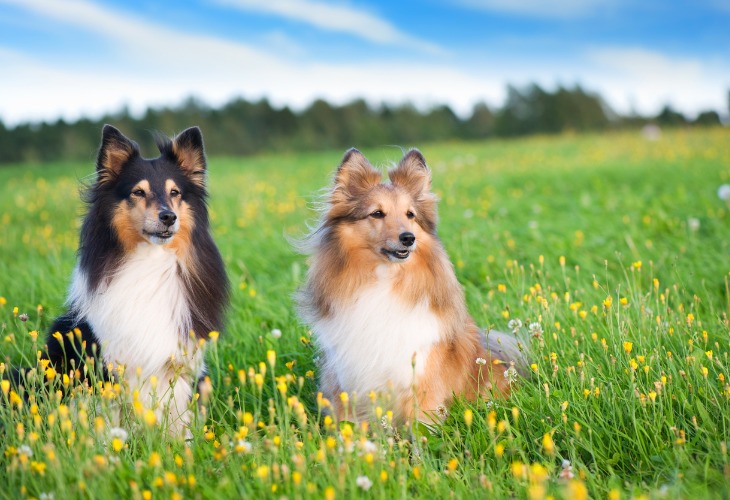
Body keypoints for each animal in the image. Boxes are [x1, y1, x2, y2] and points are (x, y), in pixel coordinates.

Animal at [9, 126, 228, 438]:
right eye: (138, 192)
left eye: (175, 192)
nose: (169, 217)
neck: (150, 262)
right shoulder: (107, 362)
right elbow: (107, 414)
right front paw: (109, 445)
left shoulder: (179, 360)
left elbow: (177, 414)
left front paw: (182, 443)